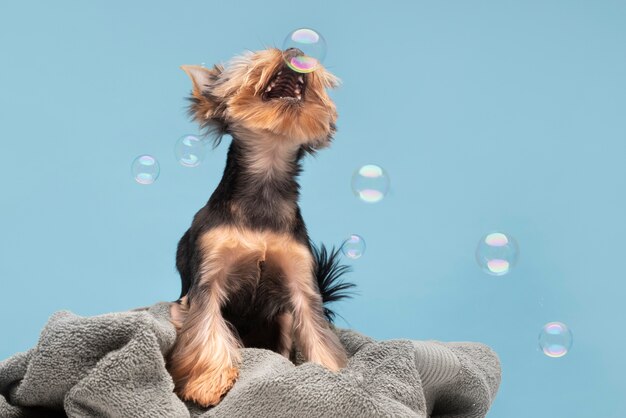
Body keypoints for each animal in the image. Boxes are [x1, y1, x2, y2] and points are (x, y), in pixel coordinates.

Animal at [166, 47, 354, 406]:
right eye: (255, 58)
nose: (295, 50)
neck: (265, 181)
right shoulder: (208, 280)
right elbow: (206, 330)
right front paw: (207, 383)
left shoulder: (302, 285)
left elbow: (319, 337)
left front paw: (333, 379)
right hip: (176, 308)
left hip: (284, 319)